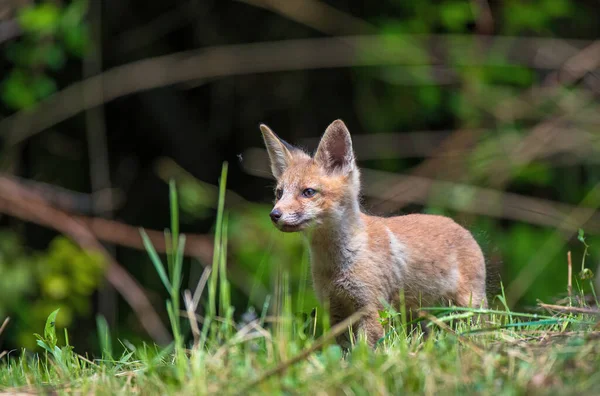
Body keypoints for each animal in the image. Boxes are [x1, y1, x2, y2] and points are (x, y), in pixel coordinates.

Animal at [260, 120, 486, 346]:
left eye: (308, 192)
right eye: (279, 193)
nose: (274, 214)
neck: (336, 266)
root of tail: (461, 227)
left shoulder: (371, 308)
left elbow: (366, 350)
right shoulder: (335, 312)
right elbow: (343, 352)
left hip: (469, 305)